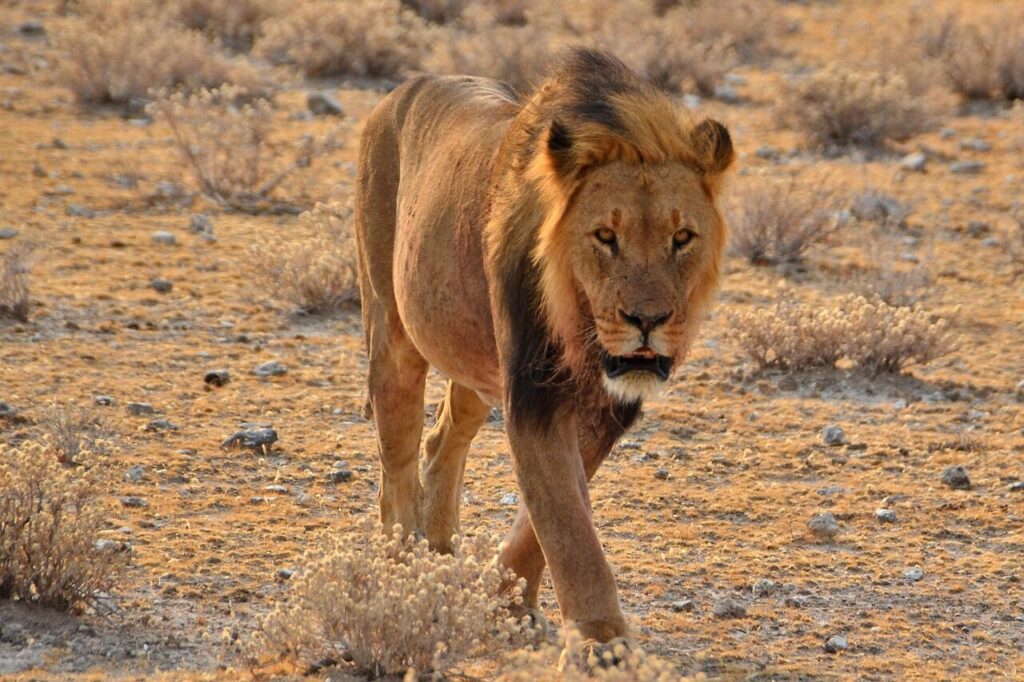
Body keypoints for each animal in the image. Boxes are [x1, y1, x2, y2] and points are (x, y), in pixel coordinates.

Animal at [354, 48, 734, 645]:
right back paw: (406, 567)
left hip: (472, 351)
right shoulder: (536, 394)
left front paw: (506, 598)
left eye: (682, 238)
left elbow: (547, 521)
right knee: (396, 459)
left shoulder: (605, 406)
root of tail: (399, 91)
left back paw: (440, 553)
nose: (647, 321)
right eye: (606, 237)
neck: (583, 332)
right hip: (392, 329)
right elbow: (566, 523)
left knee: (443, 436)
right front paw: (601, 642)